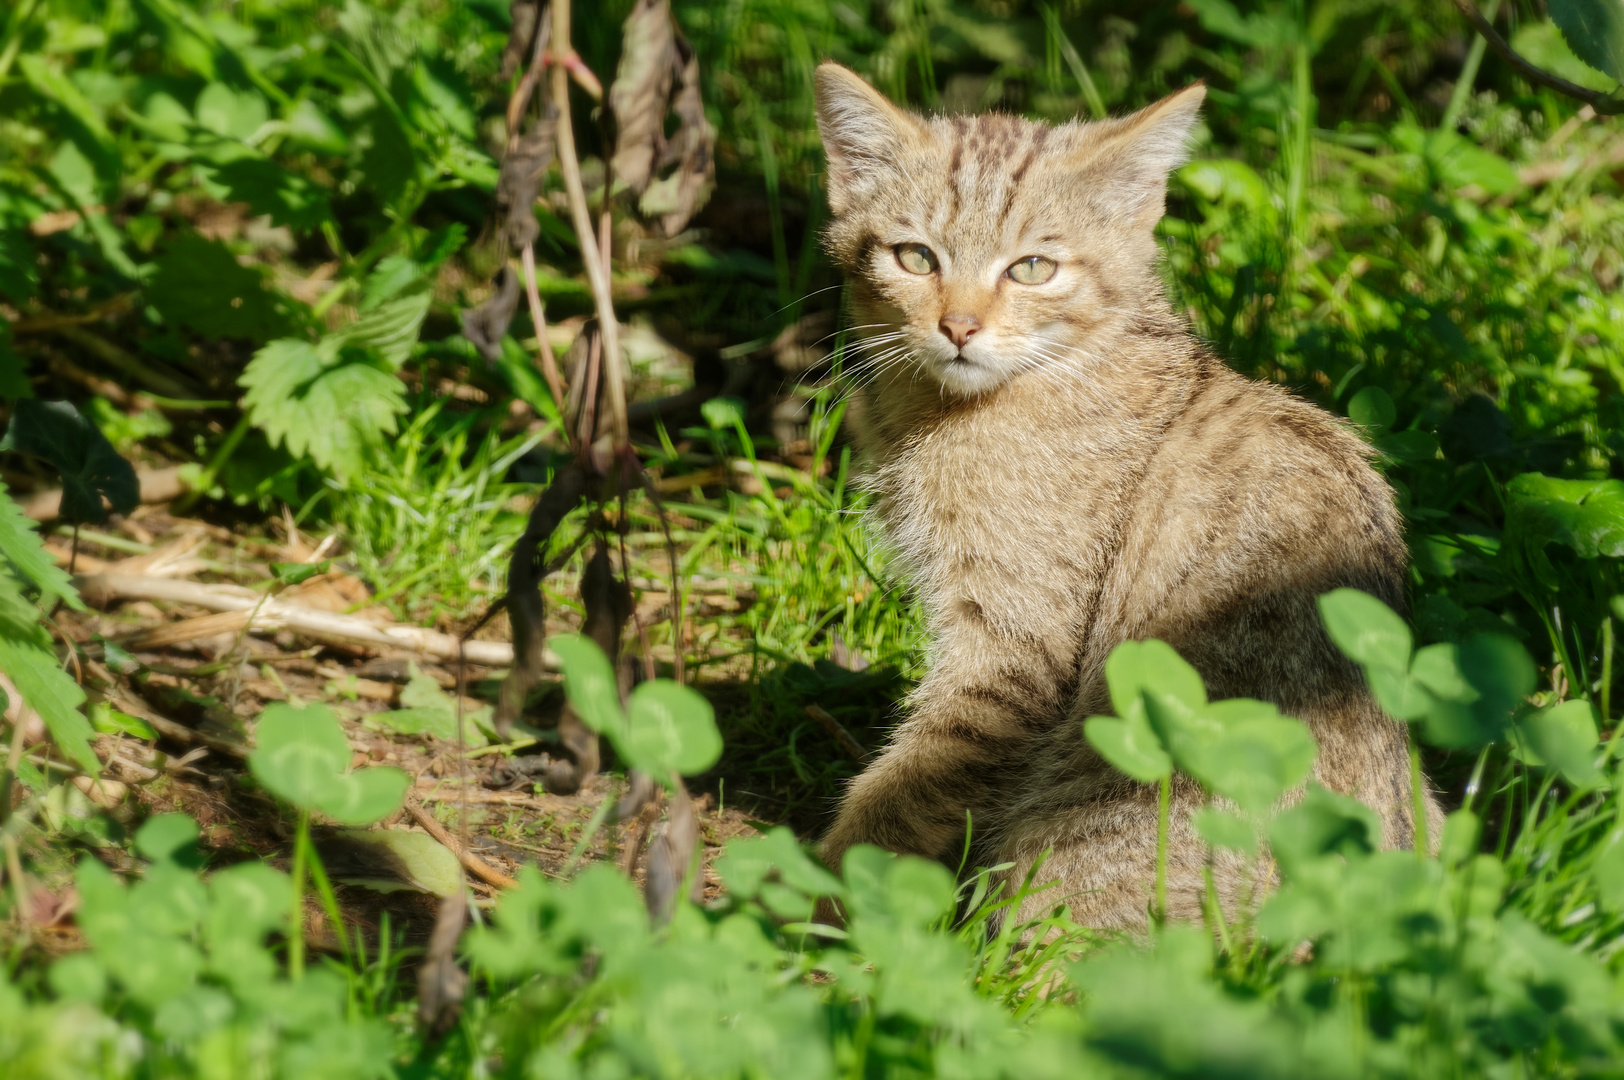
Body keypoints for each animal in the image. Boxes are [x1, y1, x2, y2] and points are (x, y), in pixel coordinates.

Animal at [818, 63, 1442, 928]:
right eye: (915, 257)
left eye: (1032, 268)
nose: (959, 327)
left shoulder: (1011, 644)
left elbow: (912, 784)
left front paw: (813, 893)